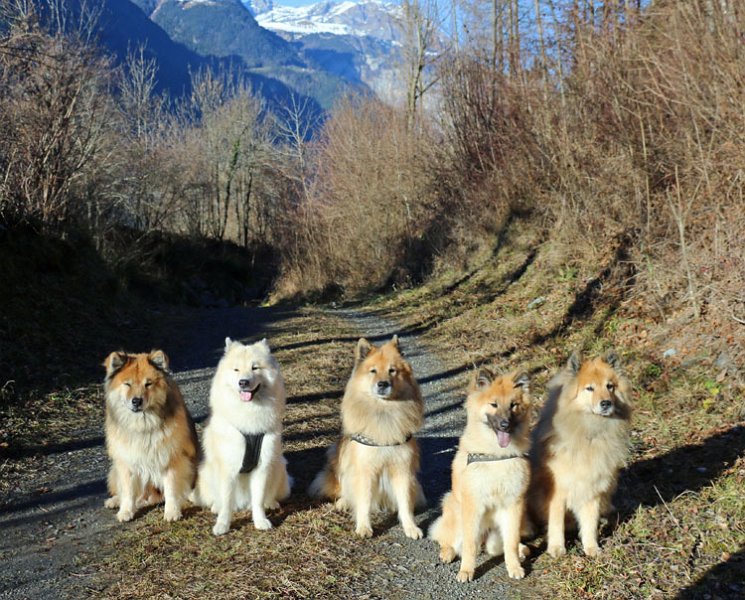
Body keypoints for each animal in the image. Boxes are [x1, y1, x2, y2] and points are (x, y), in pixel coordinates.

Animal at [190, 336, 292, 536]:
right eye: (236, 369)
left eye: (255, 368)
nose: (243, 382)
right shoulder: (228, 468)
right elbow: (227, 501)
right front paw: (223, 525)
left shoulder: (262, 466)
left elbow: (258, 499)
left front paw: (260, 521)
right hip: (207, 472)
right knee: (218, 499)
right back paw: (216, 507)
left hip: (278, 466)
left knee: (267, 496)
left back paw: (271, 503)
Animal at [308, 338, 424, 540]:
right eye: (373, 371)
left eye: (392, 370)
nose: (383, 384)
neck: (384, 411)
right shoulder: (365, 470)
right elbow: (363, 501)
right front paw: (363, 527)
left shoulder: (402, 469)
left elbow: (405, 503)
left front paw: (410, 527)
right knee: (344, 489)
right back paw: (343, 502)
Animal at [428, 370, 532, 580]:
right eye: (494, 404)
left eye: (513, 405)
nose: (505, 424)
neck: (497, 455)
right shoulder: (473, 506)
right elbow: (469, 545)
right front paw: (466, 571)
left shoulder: (514, 506)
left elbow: (511, 543)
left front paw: (514, 567)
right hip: (454, 510)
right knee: (447, 539)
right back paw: (447, 553)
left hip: (495, 537)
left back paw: (522, 551)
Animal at [528, 352, 632, 556]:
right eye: (589, 388)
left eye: (610, 386)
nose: (606, 403)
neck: (589, 432)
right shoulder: (557, 492)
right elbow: (556, 523)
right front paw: (556, 548)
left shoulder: (592, 489)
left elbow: (590, 523)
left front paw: (591, 548)